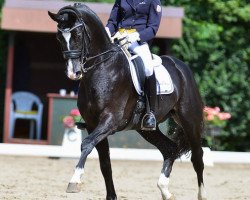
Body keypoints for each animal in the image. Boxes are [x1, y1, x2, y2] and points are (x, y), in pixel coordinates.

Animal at [48, 3, 207, 200]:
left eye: (77, 35)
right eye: (59, 37)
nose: (73, 72)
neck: (103, 68)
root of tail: (181, 67)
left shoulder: (110, 120)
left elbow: (86, 144)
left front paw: (74, 181)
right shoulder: (93, 125)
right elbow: (105, 163)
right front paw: (111, 196)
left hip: (190, 120)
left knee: (197, 157)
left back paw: (201, 194)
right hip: (145, 129)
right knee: (170, 149)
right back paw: (165, 190)